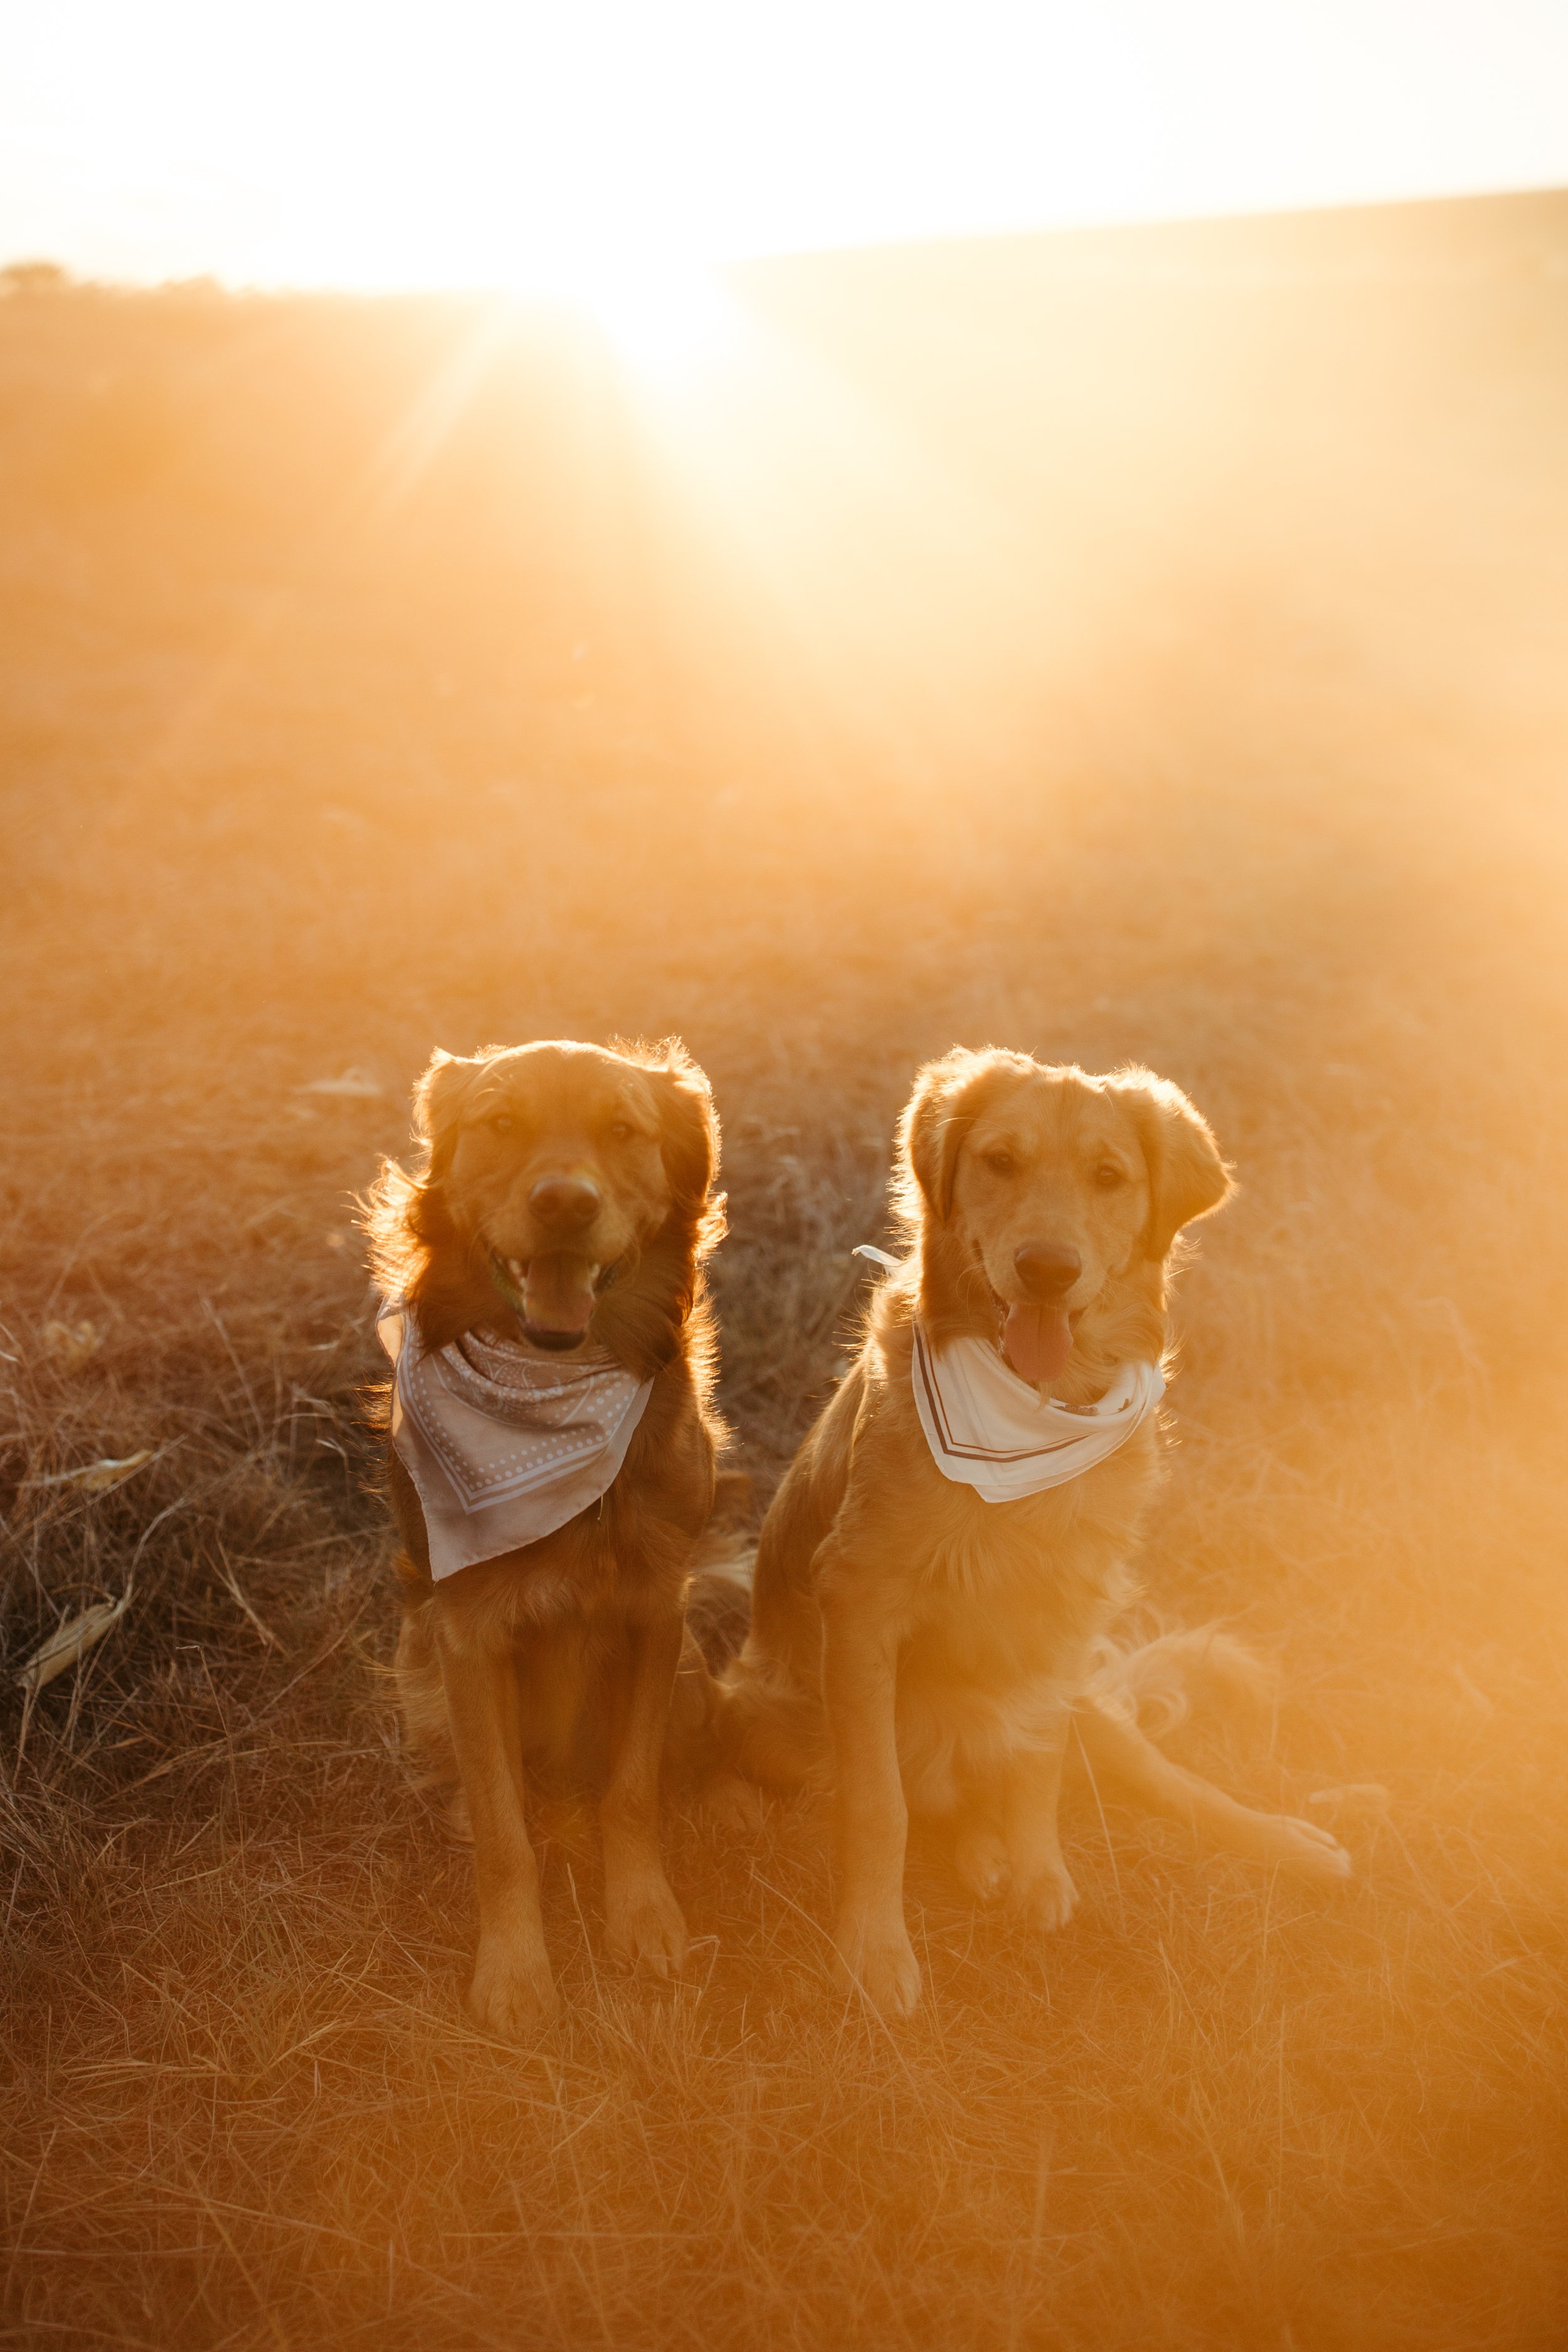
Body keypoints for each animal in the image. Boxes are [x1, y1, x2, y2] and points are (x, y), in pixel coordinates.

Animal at [369, 1035, 728, 2042]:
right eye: (501, 1122)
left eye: (623, 1131)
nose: (565, 1201)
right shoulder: (467, 1639)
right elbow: (504, 1832)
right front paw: (516, 1967)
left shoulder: (655, 1614)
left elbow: (631, 1791)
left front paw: (643, 1916)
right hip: (419, 1672)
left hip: (692, 1677)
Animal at [719, 1058, 1353, 2013]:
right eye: (1000, 1161)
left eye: (1108, 1176)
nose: (1048, 1269)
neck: (1034, 1410)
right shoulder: (859, 1606)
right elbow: (878, 1806)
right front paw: (874, 1949)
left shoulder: (1069, 1609)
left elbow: (1038, 1761)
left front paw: (1036, 1870)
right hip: (770, 1714)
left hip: (1094, 1704)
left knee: (1165, 1777)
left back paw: (1284, 1836)